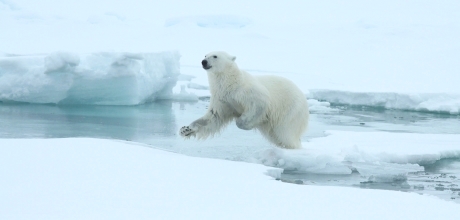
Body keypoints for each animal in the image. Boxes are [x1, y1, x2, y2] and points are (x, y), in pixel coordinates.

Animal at [180, 50, 310, 149]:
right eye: (205, 55)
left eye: (215, 56)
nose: (204, 61)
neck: (230, 82)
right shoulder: (222, 99)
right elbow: (213, 117)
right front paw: (185, 129)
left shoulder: (245, 91)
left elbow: (260, 102)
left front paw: (244, 122)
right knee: (276, 136)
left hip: (290, 111)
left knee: (285, 133)